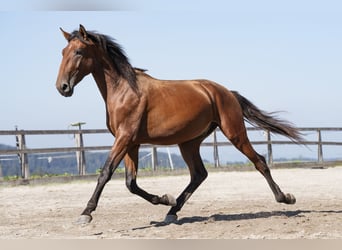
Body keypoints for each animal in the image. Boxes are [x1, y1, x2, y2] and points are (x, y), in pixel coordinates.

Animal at [54, 24, 300, 225]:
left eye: (78, 52)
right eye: (63, 52)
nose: (62, 87)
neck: (124, 90)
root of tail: (226, 92)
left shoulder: (124, 138)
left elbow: (106, 173)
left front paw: (86, 214)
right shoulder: (131, 142)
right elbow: (131, 183)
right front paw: (165, 199)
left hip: (234, 133)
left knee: (259, 161)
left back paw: (286, 198)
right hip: (189, 142)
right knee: (199, 174)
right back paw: (172, 211)